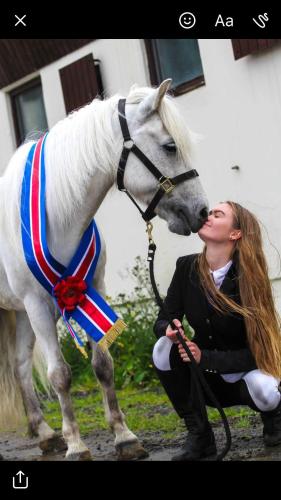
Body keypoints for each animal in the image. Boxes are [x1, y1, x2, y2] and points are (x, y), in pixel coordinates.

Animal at [0, 79, 207, 460]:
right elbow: (60, 374)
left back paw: (45, 434)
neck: (54, 212)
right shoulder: (38, 305)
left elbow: (103, 365)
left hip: (18, 312)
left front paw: (124, 437)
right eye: (170, 146)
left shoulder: (91, 289)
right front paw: (76, 445)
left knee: (20, 366)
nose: (202, 211)